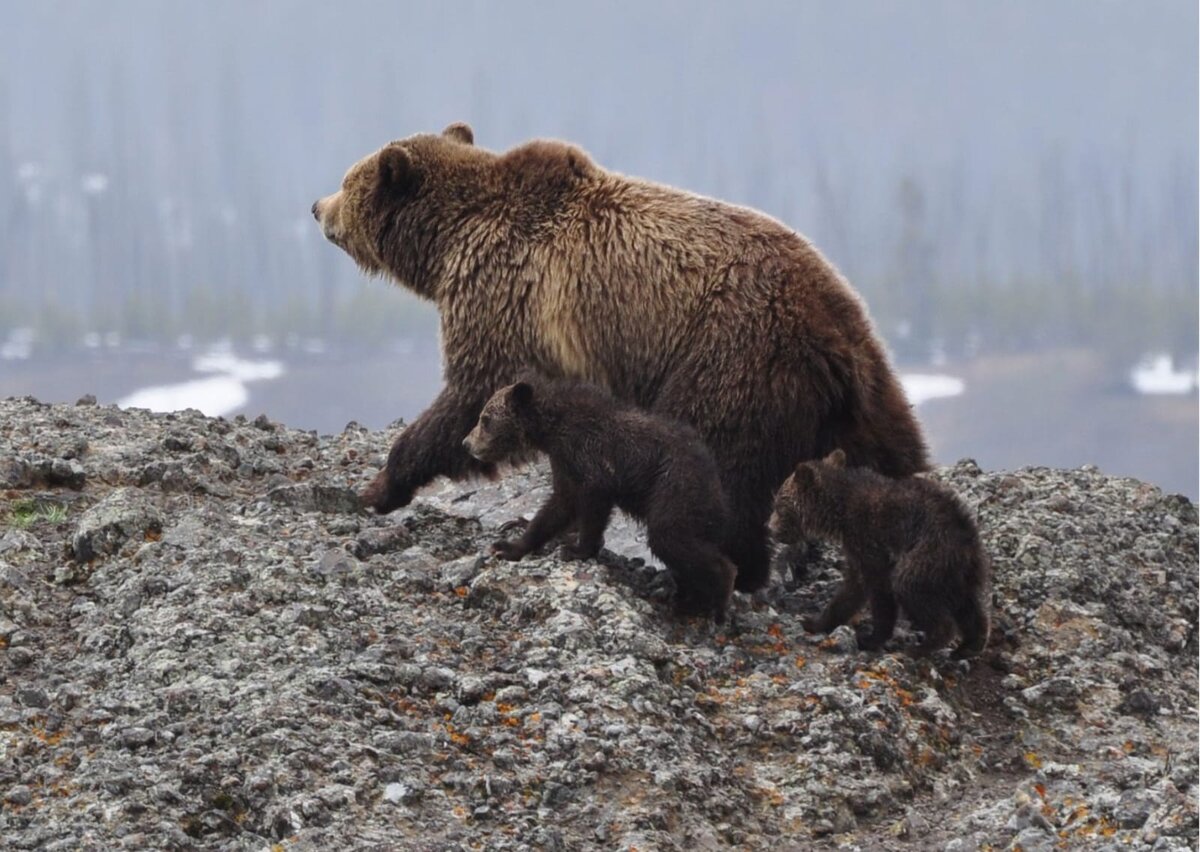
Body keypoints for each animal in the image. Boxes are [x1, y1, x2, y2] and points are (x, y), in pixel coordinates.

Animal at [309, 123, 926, 595]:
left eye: (346, 179)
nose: (316, 206)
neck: (449, 243)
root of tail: (830, 332)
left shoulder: (503, 297)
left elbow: (470, 394)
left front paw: (382, 484)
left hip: (730, 358)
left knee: (720, 468)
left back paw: (718, 571)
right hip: (866, 385)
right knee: (895, 456)